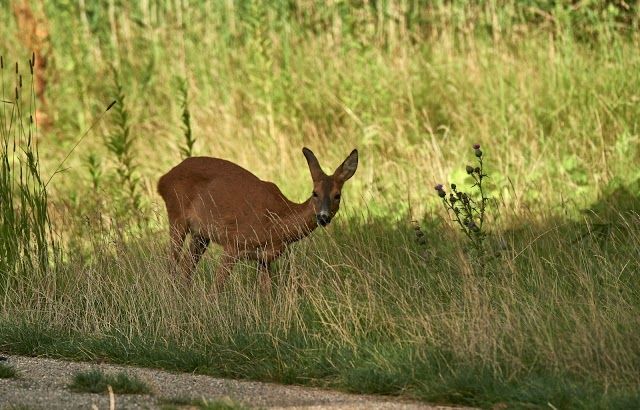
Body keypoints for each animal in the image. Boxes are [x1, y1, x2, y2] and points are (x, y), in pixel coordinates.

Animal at [157, 147, 358, 291]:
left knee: (186, 268)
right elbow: (216, 288)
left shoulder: (265, 259)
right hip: (176, 215)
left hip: (200, 235)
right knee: (172, 263)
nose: (323, 217)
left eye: (337, 195)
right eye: (314, 193)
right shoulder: (234, 244)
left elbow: (266, 294)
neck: (277, 223)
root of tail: (163, 179)